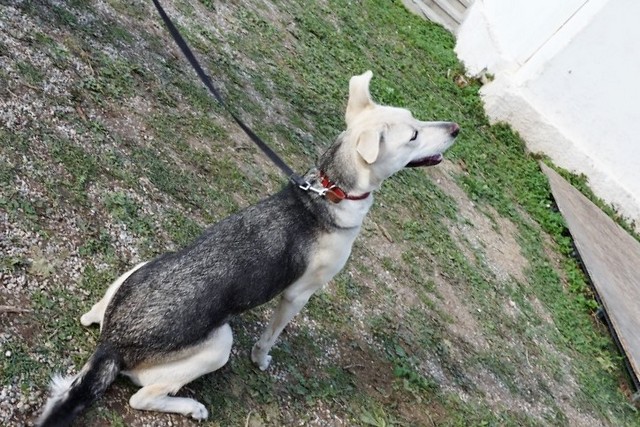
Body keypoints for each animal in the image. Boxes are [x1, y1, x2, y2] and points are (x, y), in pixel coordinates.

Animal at [36, 70, 459, 426]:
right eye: (413, 135)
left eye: (416, 120)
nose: (456, 128)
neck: (329, 192)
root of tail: (112, 344)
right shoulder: (298, 294)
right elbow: (271, 335)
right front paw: (261, 359)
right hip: (220, 343)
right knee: (142, 398)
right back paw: (191, 407)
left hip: (135, 273)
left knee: (89, 316)